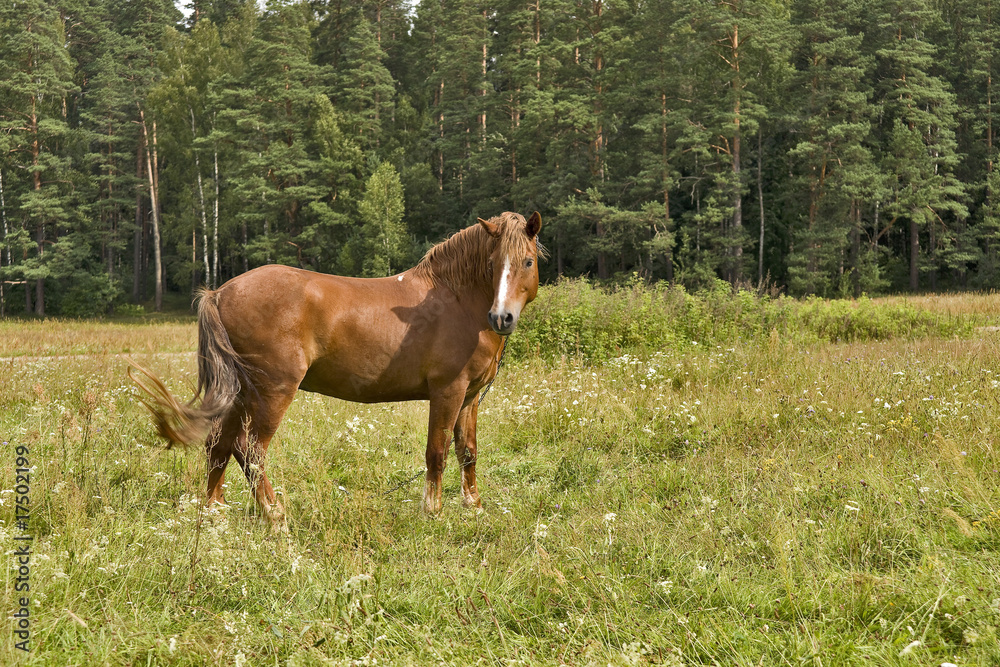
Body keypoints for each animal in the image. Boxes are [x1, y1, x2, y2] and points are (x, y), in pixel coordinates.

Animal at [130, 211, 543, 528]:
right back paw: (274, 514)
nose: (502, 318)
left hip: (241, 392)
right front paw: (433, 512)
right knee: (250, 450)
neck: (455, 299)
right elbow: (436, 452)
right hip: (272, 391)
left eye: (527, 261)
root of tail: (220, 292)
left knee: (220, 444)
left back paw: (215, 511)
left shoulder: (470, 396)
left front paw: (473, 506)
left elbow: (467, 451)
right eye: (492, 264)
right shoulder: (448, 391)